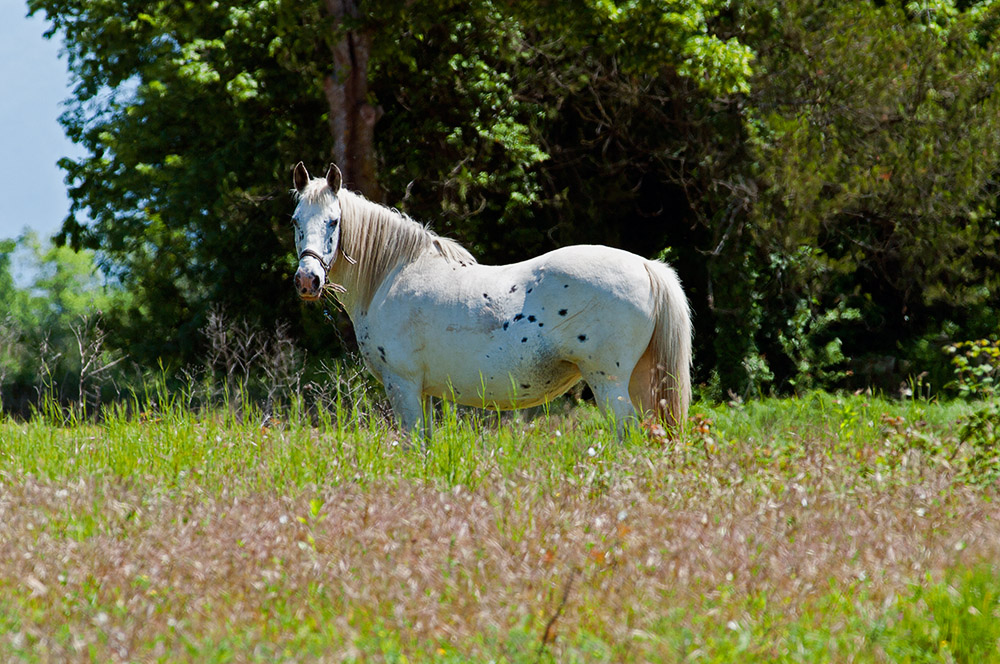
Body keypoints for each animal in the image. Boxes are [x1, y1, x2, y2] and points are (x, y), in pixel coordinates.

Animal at [292, 163, 696, 438]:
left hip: (609, 383)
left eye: (333, 221)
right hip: (640, 382)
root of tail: (645, 266)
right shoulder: (421, 392)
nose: (308, 280)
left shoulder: (402, 385)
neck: (393, 275)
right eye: (295, 220)